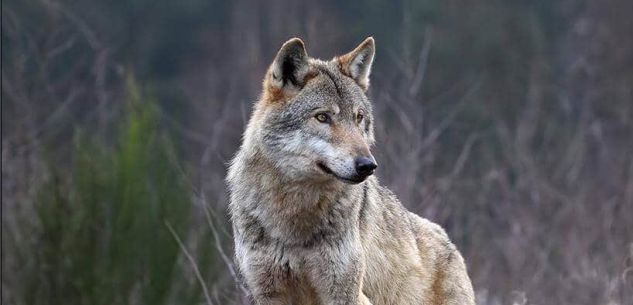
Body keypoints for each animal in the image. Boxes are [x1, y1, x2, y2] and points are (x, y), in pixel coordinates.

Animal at [227, 36, 474, 304]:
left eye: (358, 117)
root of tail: (449, 241)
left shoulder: (346, 292)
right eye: (322, 117)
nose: (368, 165)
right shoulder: (268, 294)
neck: (294, 211)